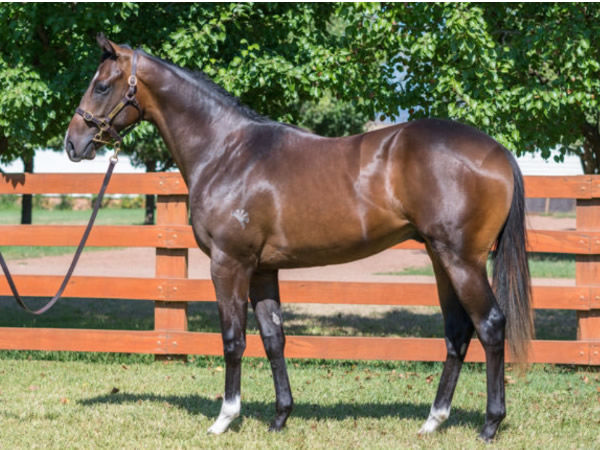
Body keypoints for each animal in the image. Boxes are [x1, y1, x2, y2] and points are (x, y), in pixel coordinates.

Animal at [65, 34, 532, 440]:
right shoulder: (261, 270)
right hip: (440, 259)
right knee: (457, 333)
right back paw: (433, 422)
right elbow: (274, 339)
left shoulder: (229, 264)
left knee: (491, 326)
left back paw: (490, 425)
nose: (73, 143)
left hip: (461, 260)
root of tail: (497, 151)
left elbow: (233, 339)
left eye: (101, 85)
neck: (226, 151)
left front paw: (224, 419)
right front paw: (280, 417)